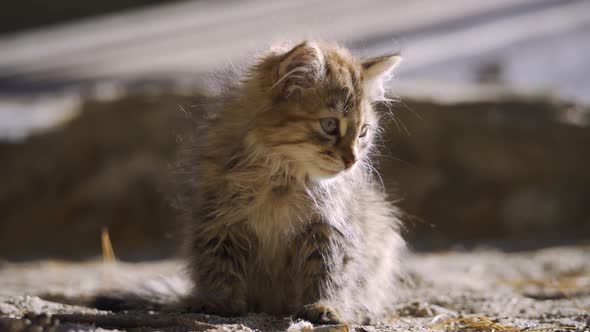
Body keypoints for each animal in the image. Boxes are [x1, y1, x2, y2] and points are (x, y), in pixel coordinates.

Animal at [179, 39, 408, 324]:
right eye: (330, 125)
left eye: (363, 132)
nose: (352, 160)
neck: (282, 177)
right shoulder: (218, 220)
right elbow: (217, 265)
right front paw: (217, 301)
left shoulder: (330, 225)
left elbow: (328, 271)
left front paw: (325, 307)